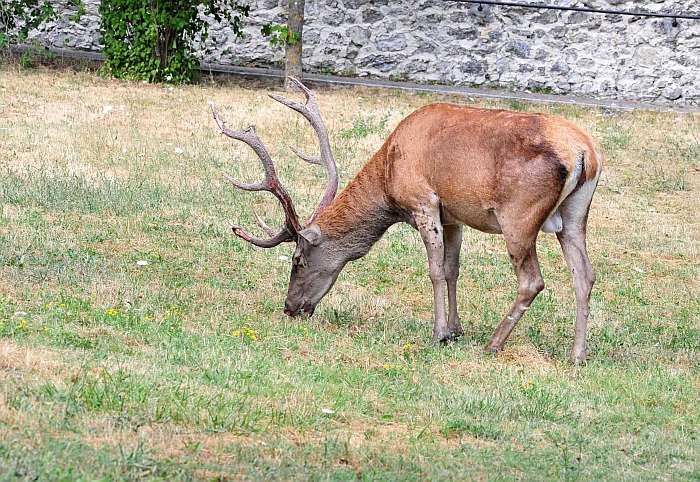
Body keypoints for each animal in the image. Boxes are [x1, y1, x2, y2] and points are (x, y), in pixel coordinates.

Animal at [213, 79, 600, 364]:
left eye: (298, 261)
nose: (290, 308)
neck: (388, 180)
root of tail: (587, 152)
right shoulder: (454, 215)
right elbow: (453, 268)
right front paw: (455, 329)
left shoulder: (423, 202)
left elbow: (435, 270)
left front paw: (438, 334)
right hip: (575, 214)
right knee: (585, 274)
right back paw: (577, 355)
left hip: (518, 216)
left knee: (532, 280)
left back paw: (493, 344)